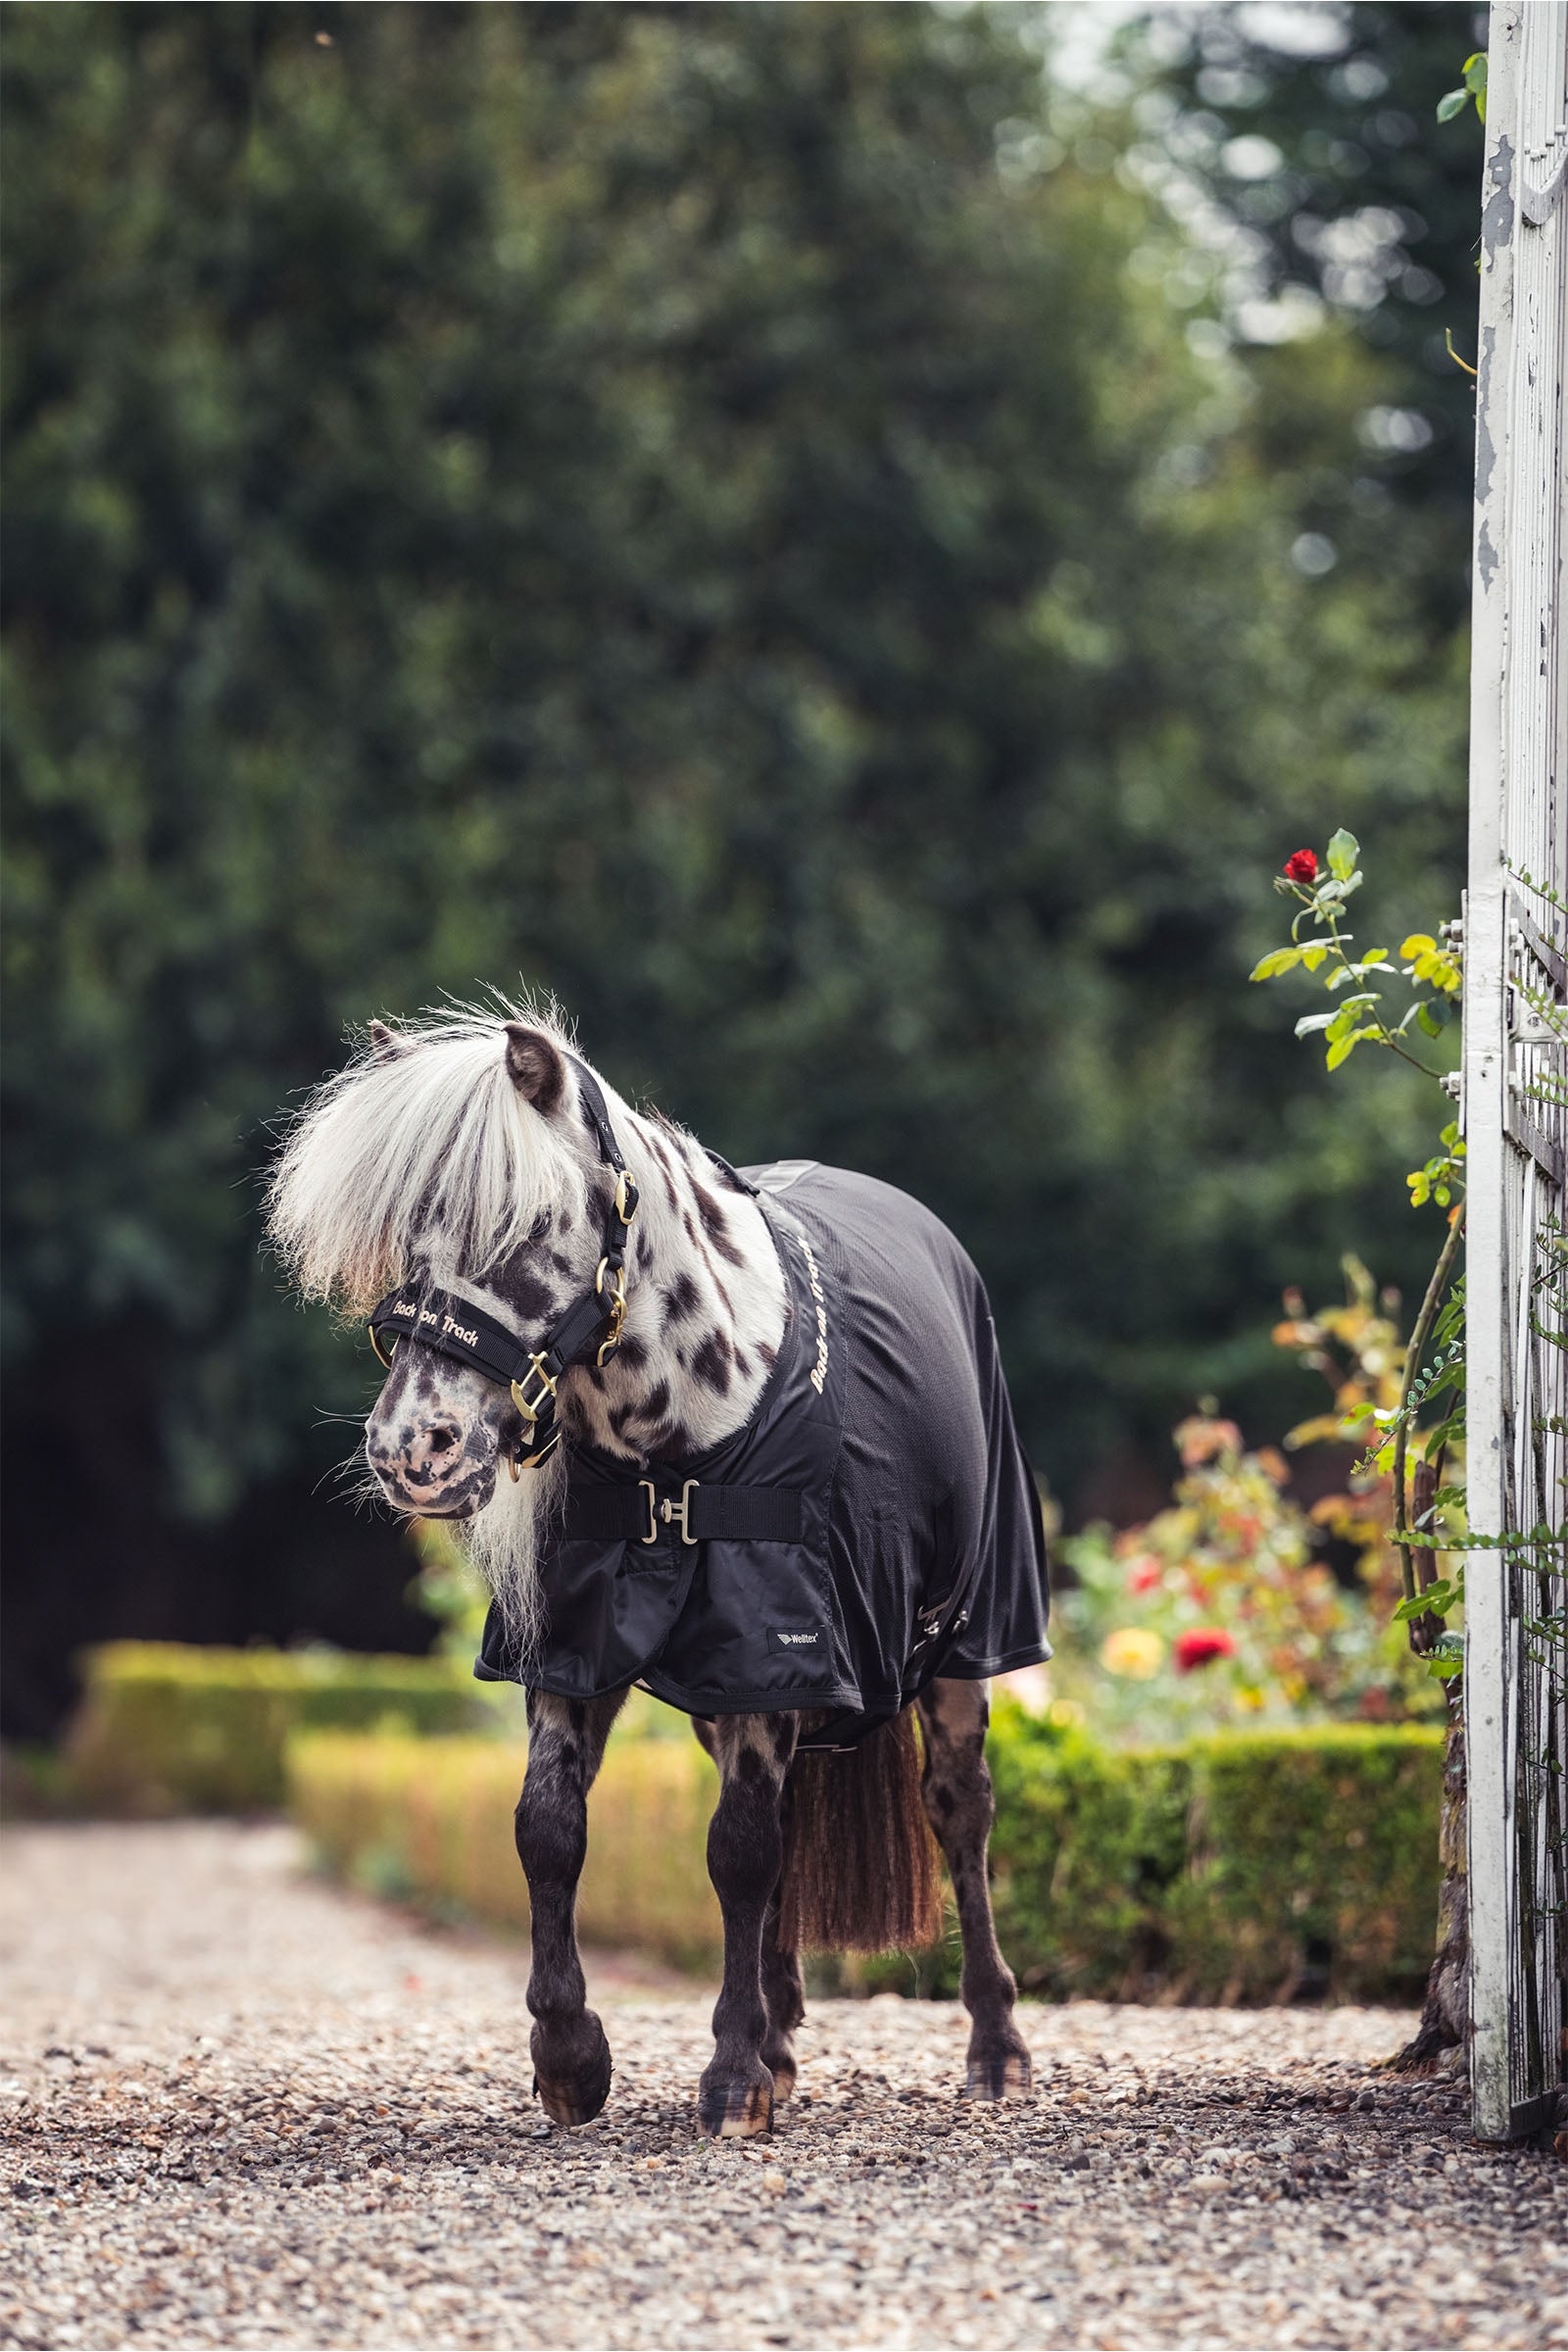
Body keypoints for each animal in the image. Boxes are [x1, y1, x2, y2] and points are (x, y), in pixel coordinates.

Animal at [267, 1004, 1051, 2138]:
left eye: (527, 1231)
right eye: (409, 1241)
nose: (414, 1450)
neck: (674, 1444)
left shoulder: (770, 1646)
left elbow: (737, 1850)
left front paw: (729, 2079)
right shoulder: (580, 1651)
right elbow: (551, 1831)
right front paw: (572, 2059)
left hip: (959, 1648)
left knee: (959, 1810)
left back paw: (994, 2049)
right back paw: (782, 2039)